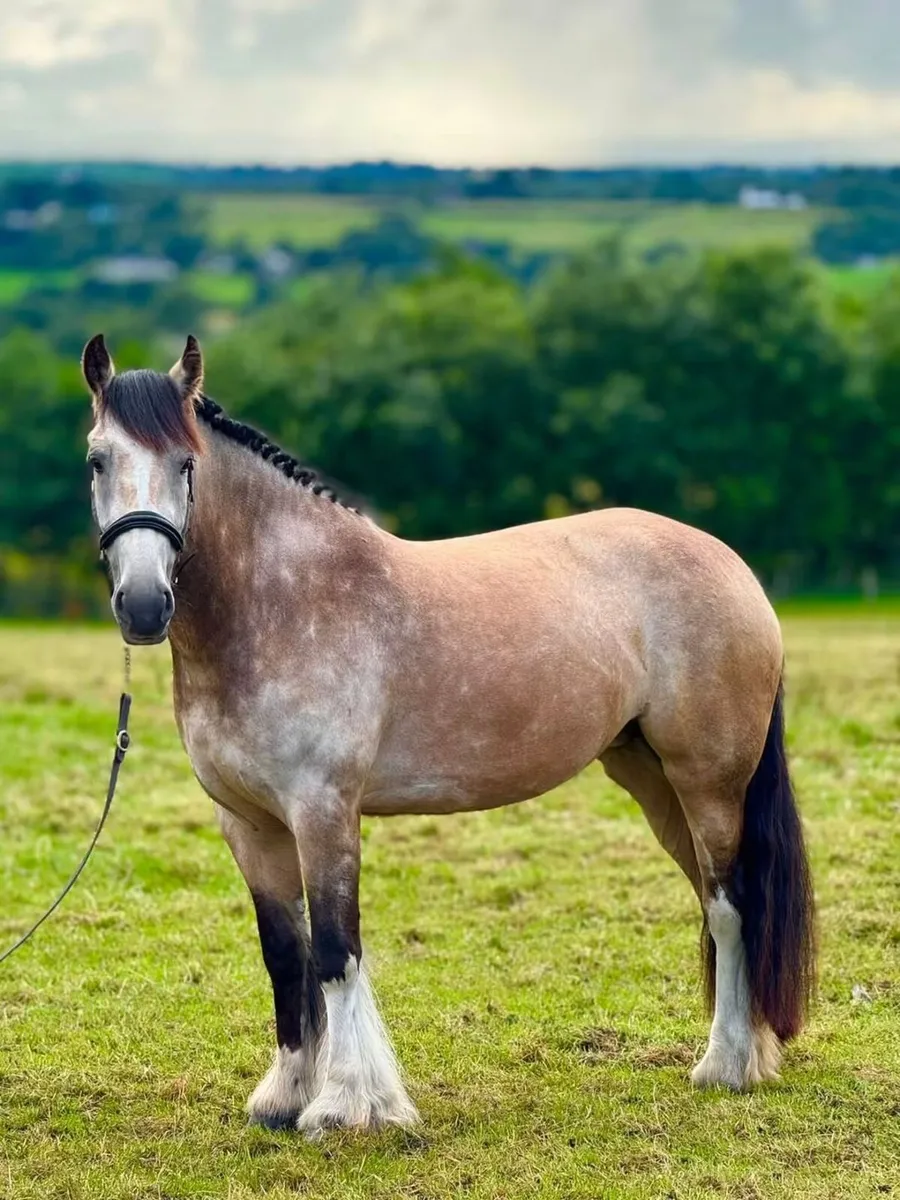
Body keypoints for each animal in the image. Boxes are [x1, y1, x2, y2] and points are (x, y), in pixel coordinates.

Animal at [82, 333, 815, 1135]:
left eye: (187, 465)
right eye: (97, 459)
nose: (143, 605)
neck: (280, 600)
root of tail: (733, 566)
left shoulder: (323, 811)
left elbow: (335, 950)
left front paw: (349, 1105)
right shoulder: (248, 823)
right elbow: (284, 954)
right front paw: (285, 1095)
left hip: (709, 783)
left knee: (732, 907)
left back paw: (725, 1068)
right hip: (654, 782)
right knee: (718, 904)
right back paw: (751, 1054)